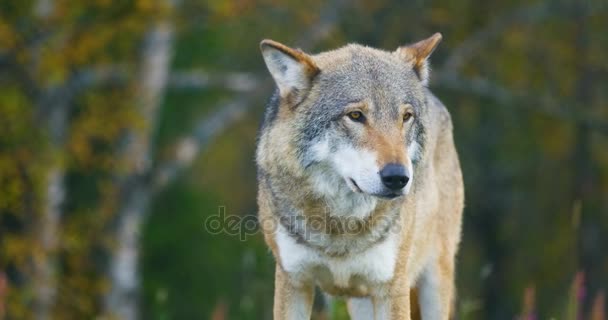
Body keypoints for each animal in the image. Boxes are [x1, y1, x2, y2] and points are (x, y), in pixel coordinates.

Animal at [254, 33, 464, 320]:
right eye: (355, 115)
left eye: (406, 117)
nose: (398, 177)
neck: (341, 226)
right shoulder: (292, 281)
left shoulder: (391, 287)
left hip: (434, 281)